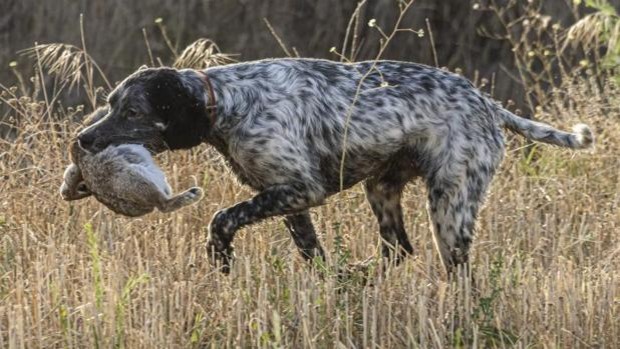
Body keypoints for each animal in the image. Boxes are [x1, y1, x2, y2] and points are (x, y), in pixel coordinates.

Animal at [77, 58, 596, 274]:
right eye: (110, 103)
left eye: (132, 111)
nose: (82, 140)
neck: (230, 102)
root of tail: (488, 104)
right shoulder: (288, 199)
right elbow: (313, 254)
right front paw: (332, 282)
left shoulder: (301, 190)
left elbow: (221, 217)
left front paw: (220, 257)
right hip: (382, 189)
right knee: (397, 250)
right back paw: (361, 274)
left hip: (450, 205)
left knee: (454, 269)